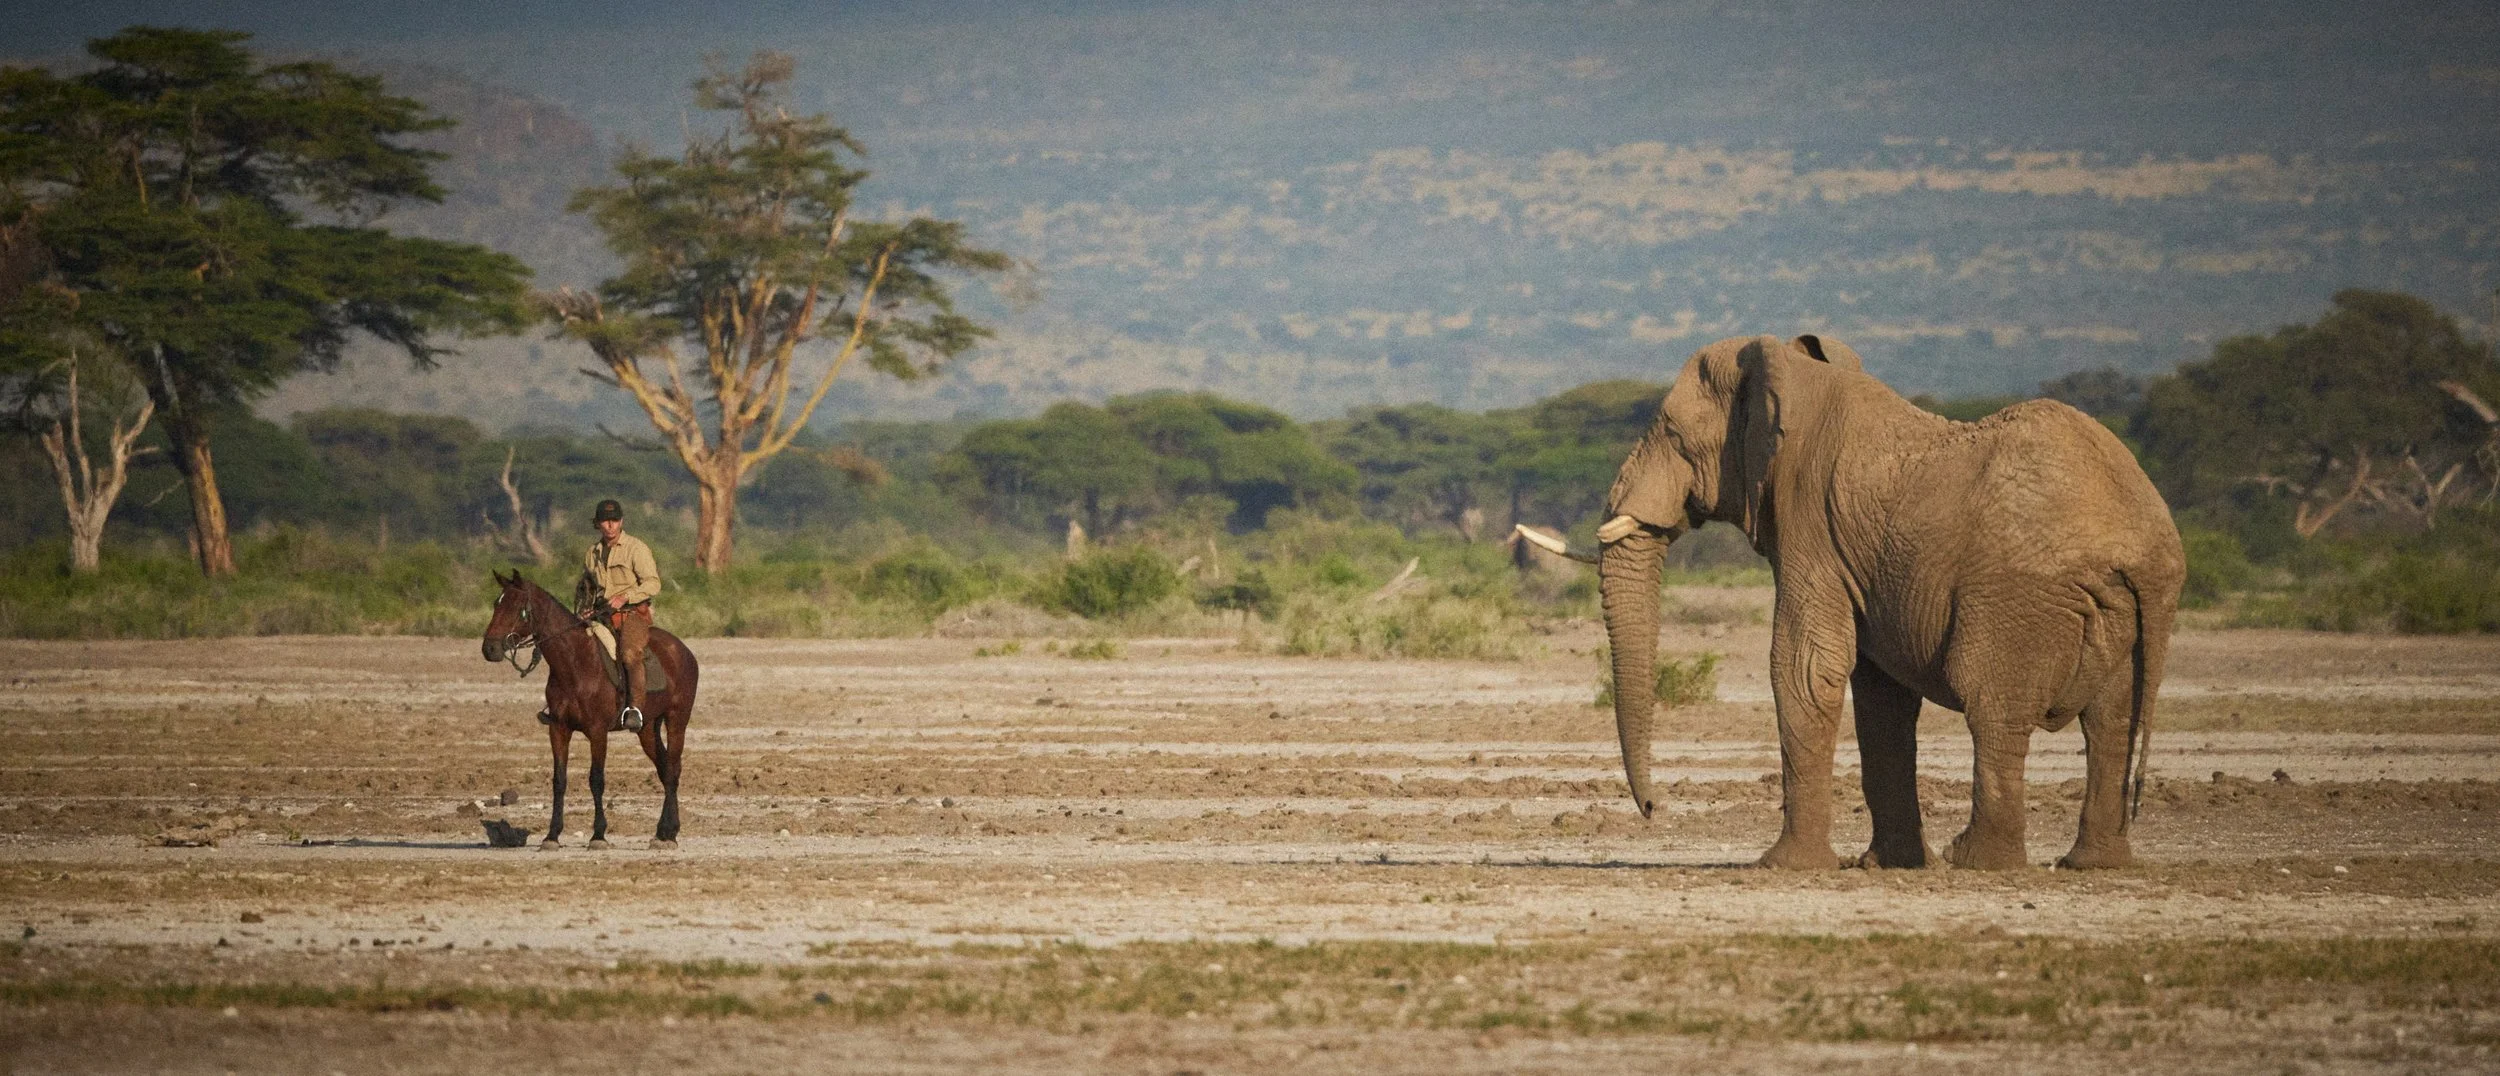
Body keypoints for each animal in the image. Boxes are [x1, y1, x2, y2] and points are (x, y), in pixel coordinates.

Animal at [1595, 334, 2184, 870]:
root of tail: (2148, 552)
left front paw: (1785, 865)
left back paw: (1978, 860)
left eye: (1673, 432)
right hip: (2118, 614)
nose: (1653, 808)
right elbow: (1881, 696)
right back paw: (2094, 864)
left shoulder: (1809, 521)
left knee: (1995, 709)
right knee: (2111, 720)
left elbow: (1805, 668)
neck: (1795, 373)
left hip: (2019, 598)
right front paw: (1891, 863)